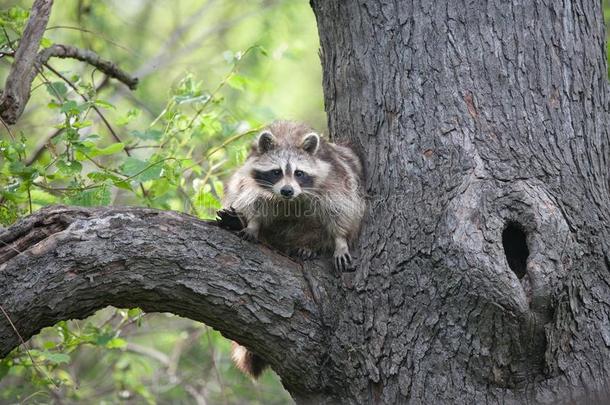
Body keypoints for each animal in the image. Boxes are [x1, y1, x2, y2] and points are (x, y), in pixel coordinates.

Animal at [222, 120, 366, 378]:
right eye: (276, 172)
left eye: (299, 173)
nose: (287, 191)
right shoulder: (251, 178)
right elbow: (251, 199)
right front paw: (253, 224)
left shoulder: (335, 177)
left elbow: (341, 209)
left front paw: (340, 239)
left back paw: (308, 246)